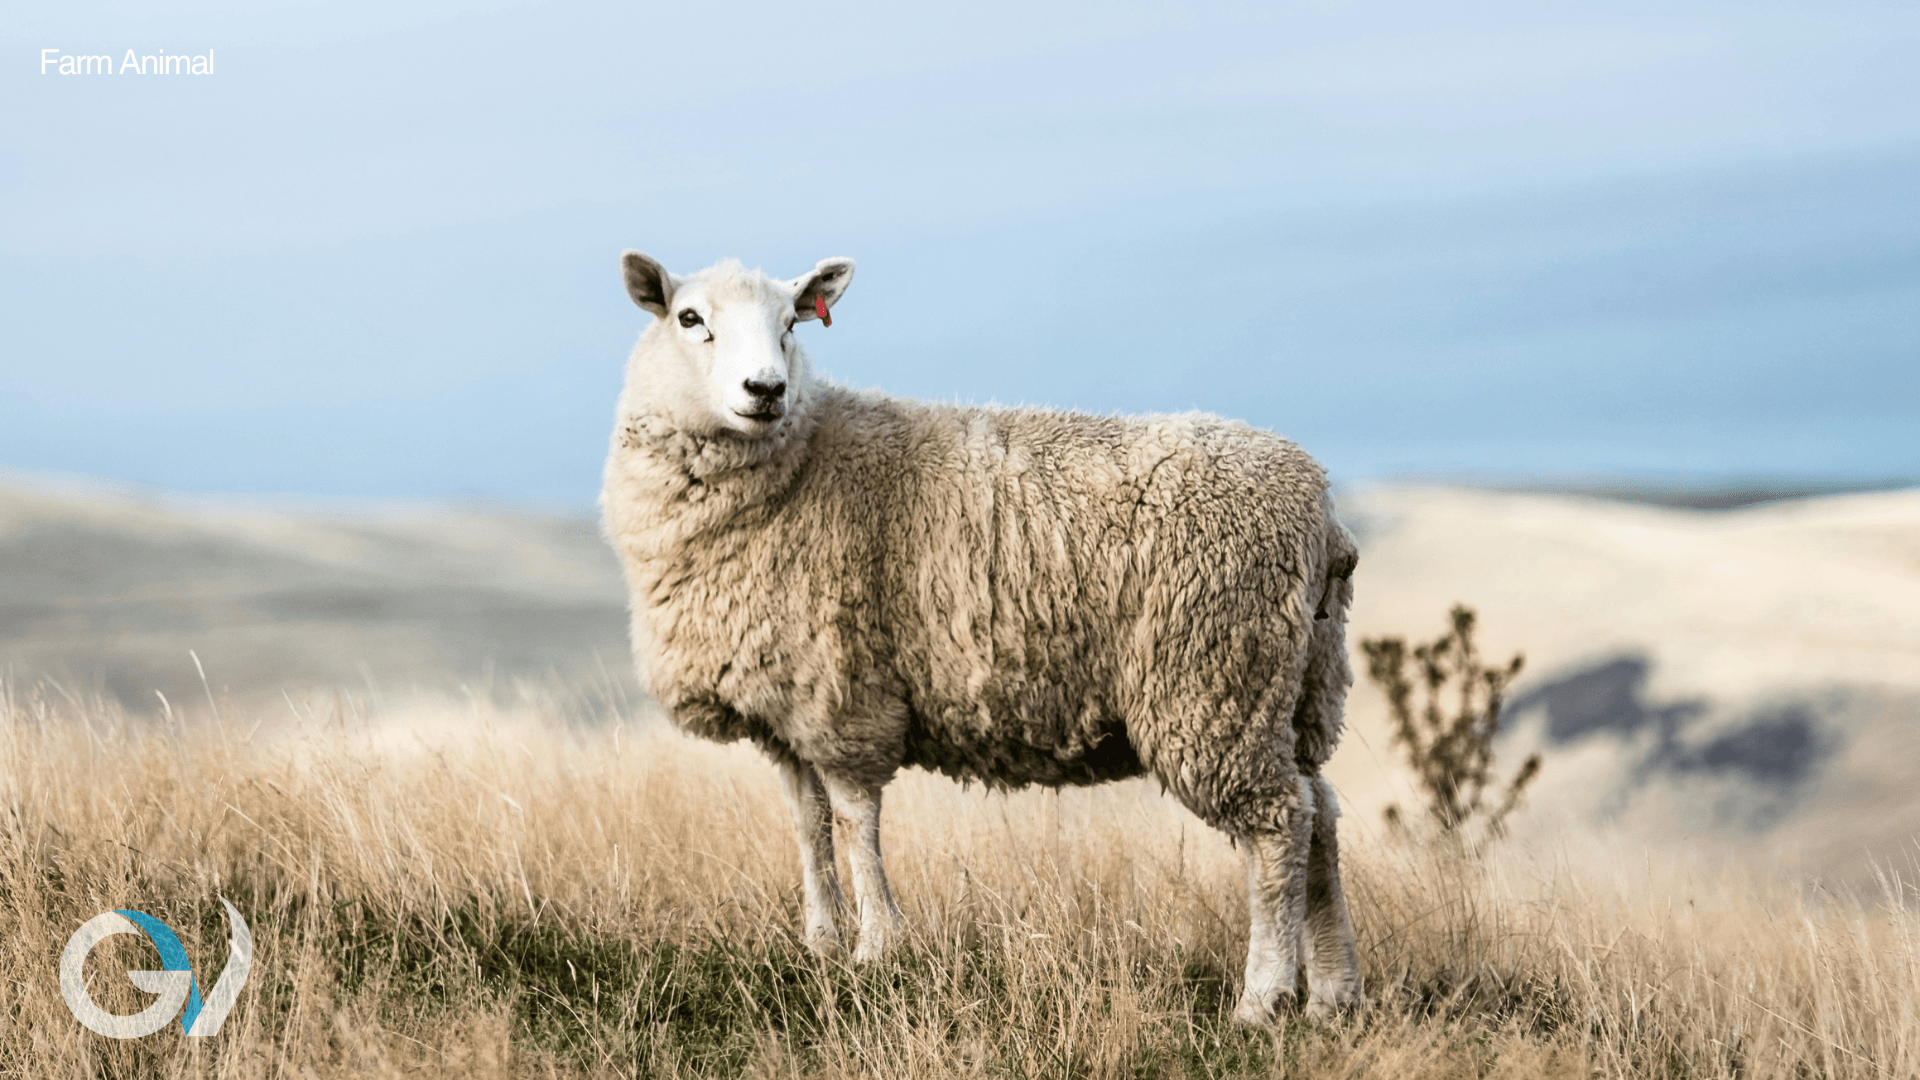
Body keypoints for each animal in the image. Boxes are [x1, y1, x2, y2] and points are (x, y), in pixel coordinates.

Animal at [600, 251, 1364, 1023]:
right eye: (689, 318)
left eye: (791, 323)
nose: (766, 390)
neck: (803, 462)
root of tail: (1321, 511)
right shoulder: (788, 708)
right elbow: (808, 825)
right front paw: (820, 943)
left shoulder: (846, 696)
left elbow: (854, 821)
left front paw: (877, 947)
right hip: (1295, 687)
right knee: (1320, 815)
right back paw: (1334, 994)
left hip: (1214, 681)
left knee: (1278, 826)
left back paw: (1263, 998)